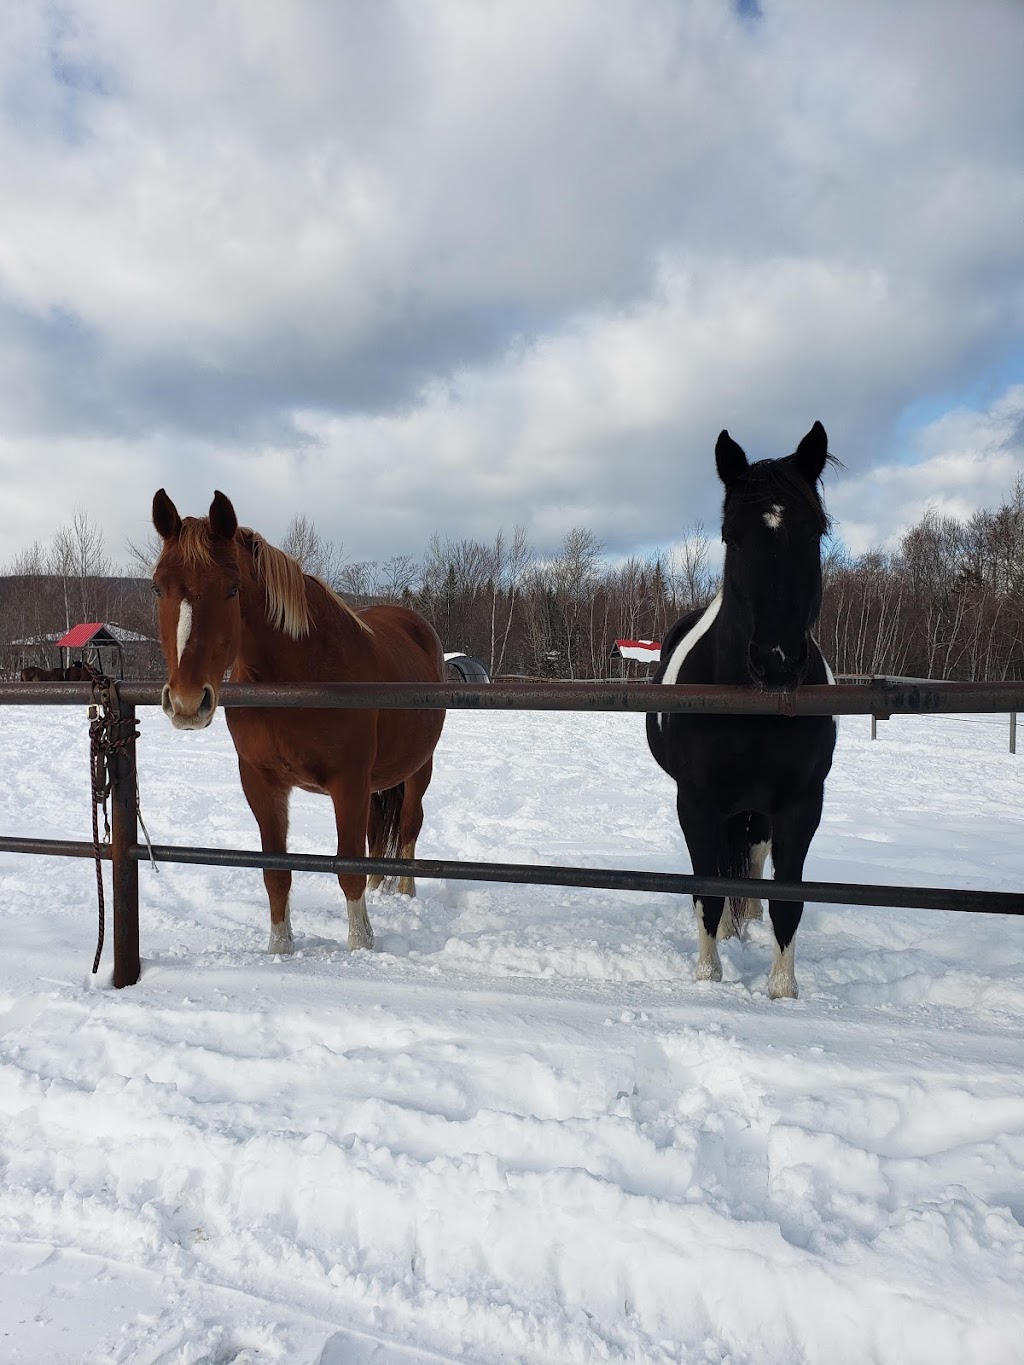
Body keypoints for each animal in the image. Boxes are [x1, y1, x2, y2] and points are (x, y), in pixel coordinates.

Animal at [151, 496, 445, 955]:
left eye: (232, 588)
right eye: (157, 587)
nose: (186, 703)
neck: (301, 677)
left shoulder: (349, 784)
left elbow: (348, 868)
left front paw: (361, 945)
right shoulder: (262, 783)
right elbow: (277, 873)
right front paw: (280, 949)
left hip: (419, 768)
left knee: (410, 825)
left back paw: (404, 891)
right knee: (379, 836)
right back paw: (380, 885)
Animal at [652, 420, 835, 999]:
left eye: (815, 532)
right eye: (732, 535)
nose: (777, 660)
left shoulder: (802, 805)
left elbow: (788, 899)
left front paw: (783, 990)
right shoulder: (696, 801)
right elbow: (709, 890)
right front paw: (708, 976)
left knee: (751, 856)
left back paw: (747, 916)